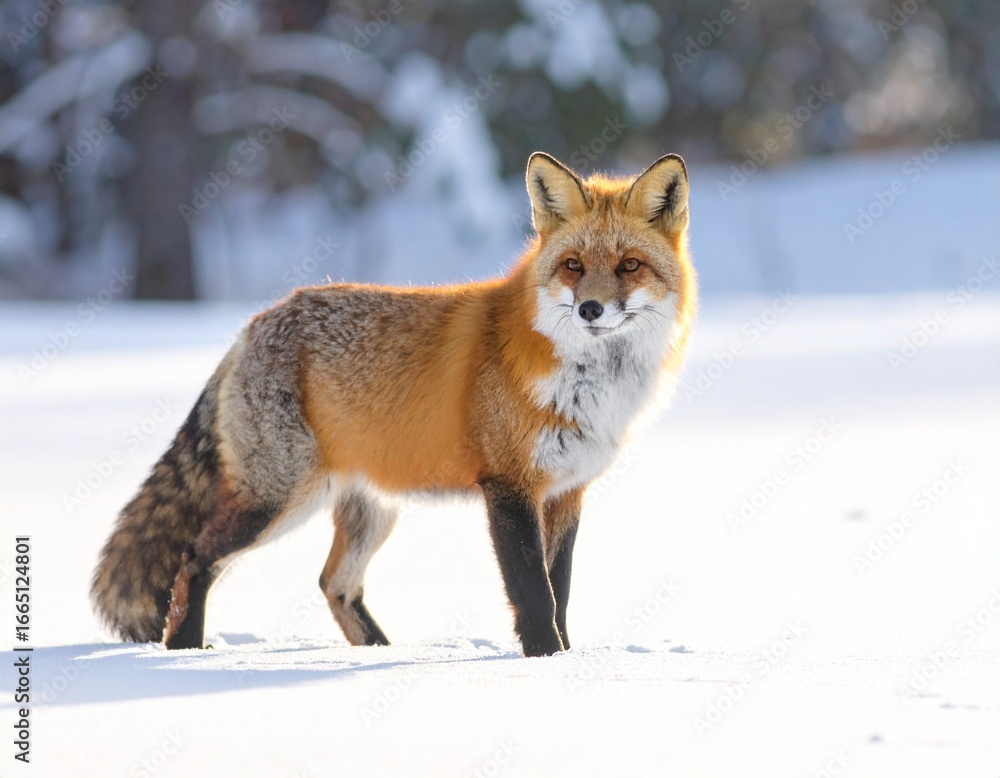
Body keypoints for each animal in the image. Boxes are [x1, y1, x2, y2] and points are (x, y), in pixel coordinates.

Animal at [91, 151, 697, 657]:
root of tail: (252, 325)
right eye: (573, 265)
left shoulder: (567, 491)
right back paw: (186, 651)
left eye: (628, 266)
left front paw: (566, 660)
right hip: (279, 499)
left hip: (370, 511)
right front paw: (545, 661)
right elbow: (535, 593)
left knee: (334, 584)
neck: (584, 385)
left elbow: (562, 589)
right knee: (195, 557)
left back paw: (380, 653)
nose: (591, 309)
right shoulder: (508, 486)